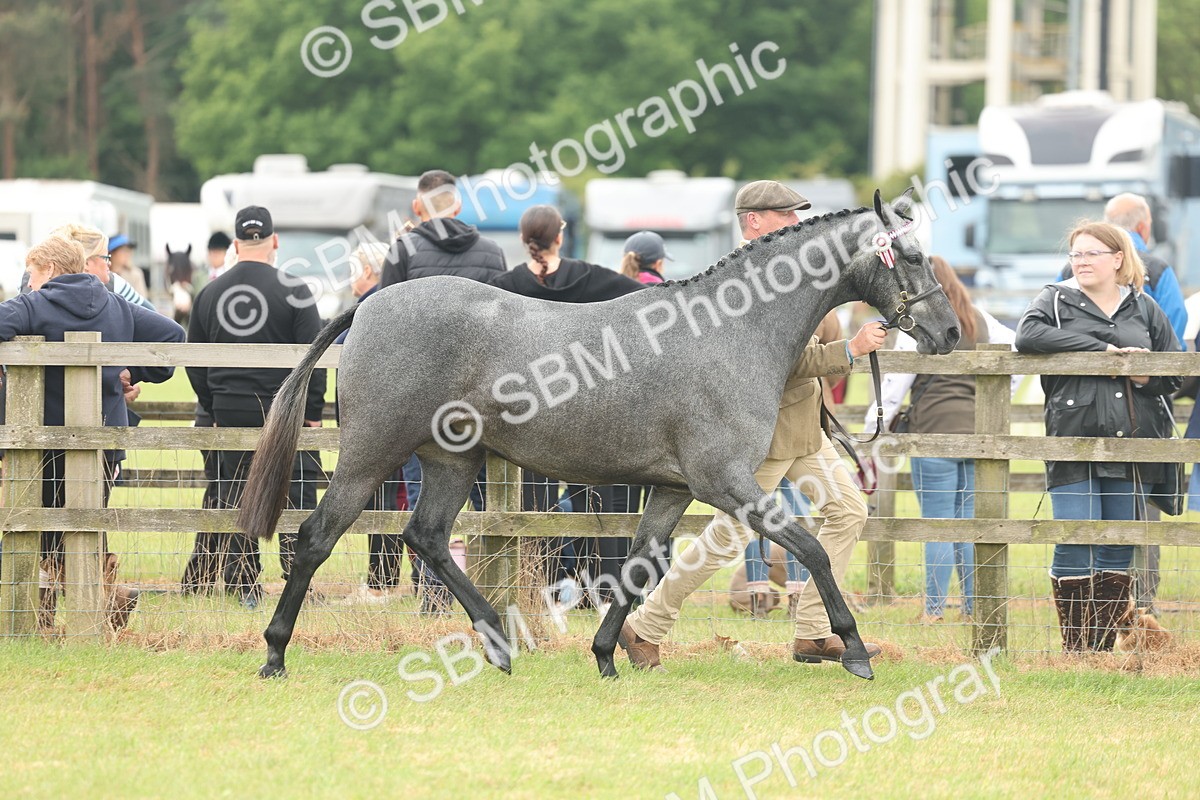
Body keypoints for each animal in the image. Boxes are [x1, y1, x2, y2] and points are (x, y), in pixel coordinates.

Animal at [237, 190, 961, 682]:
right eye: (912, 255)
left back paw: (498, 643)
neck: (730, 331)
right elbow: (811, 551)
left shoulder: (673, 489)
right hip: (370, 455)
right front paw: (856, 650)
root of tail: (369, 303)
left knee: (429, 538)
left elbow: (640, 565)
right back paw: (274, 652)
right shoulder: (728, 484)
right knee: (317, 538)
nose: (950, 332)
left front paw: (610, 655)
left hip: (453, 460)